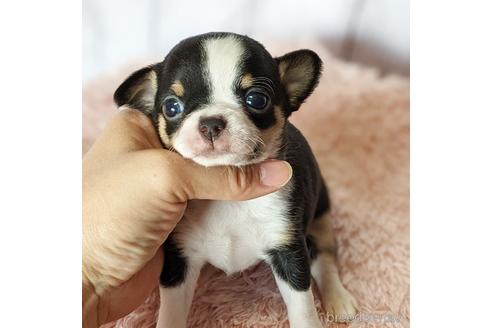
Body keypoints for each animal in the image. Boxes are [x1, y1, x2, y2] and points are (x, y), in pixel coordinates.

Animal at [113, 31, 356, 328]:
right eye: (171, 107)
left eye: (257, 100)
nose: (210, 123)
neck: (227, 198)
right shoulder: (179, 260)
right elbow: (171, 313)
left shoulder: (288, 249)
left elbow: (303, 309)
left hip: (320, 215)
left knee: (324, 257)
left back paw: (338, 298)